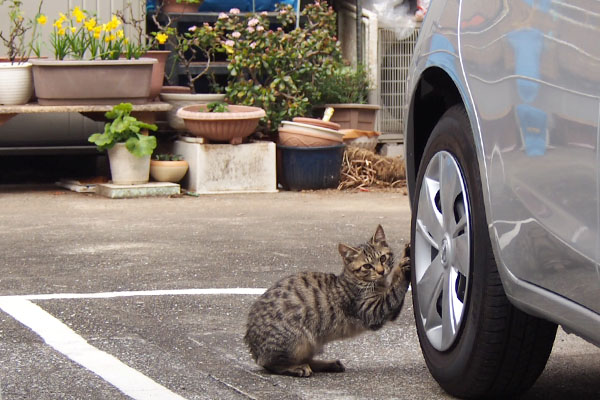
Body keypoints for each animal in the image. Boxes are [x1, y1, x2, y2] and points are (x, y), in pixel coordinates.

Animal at [246, 227, 410, 376]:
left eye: (383, 258)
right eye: (367, 266)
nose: (381, 271)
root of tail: (253, 347)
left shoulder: (388, 311)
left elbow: (394, 290)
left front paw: (404, 256)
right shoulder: (372, 311)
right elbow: (394, 290)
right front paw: (402, 266)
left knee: (306, 360)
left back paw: (328, 364)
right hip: (296, 340)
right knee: (270, 364)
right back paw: (297, 368)